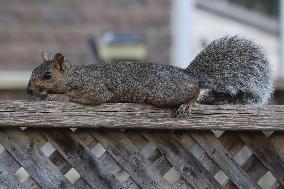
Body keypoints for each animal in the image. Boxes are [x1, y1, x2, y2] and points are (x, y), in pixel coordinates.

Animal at [27, 35, 276, 116]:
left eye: (47, 75)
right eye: (33, 71)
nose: (29, 90)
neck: (75, 76)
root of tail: (189, 73)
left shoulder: (95, 87)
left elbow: (91, 96)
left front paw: (57, 96)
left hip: (162, 94)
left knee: (194, 90)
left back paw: (188, 104)